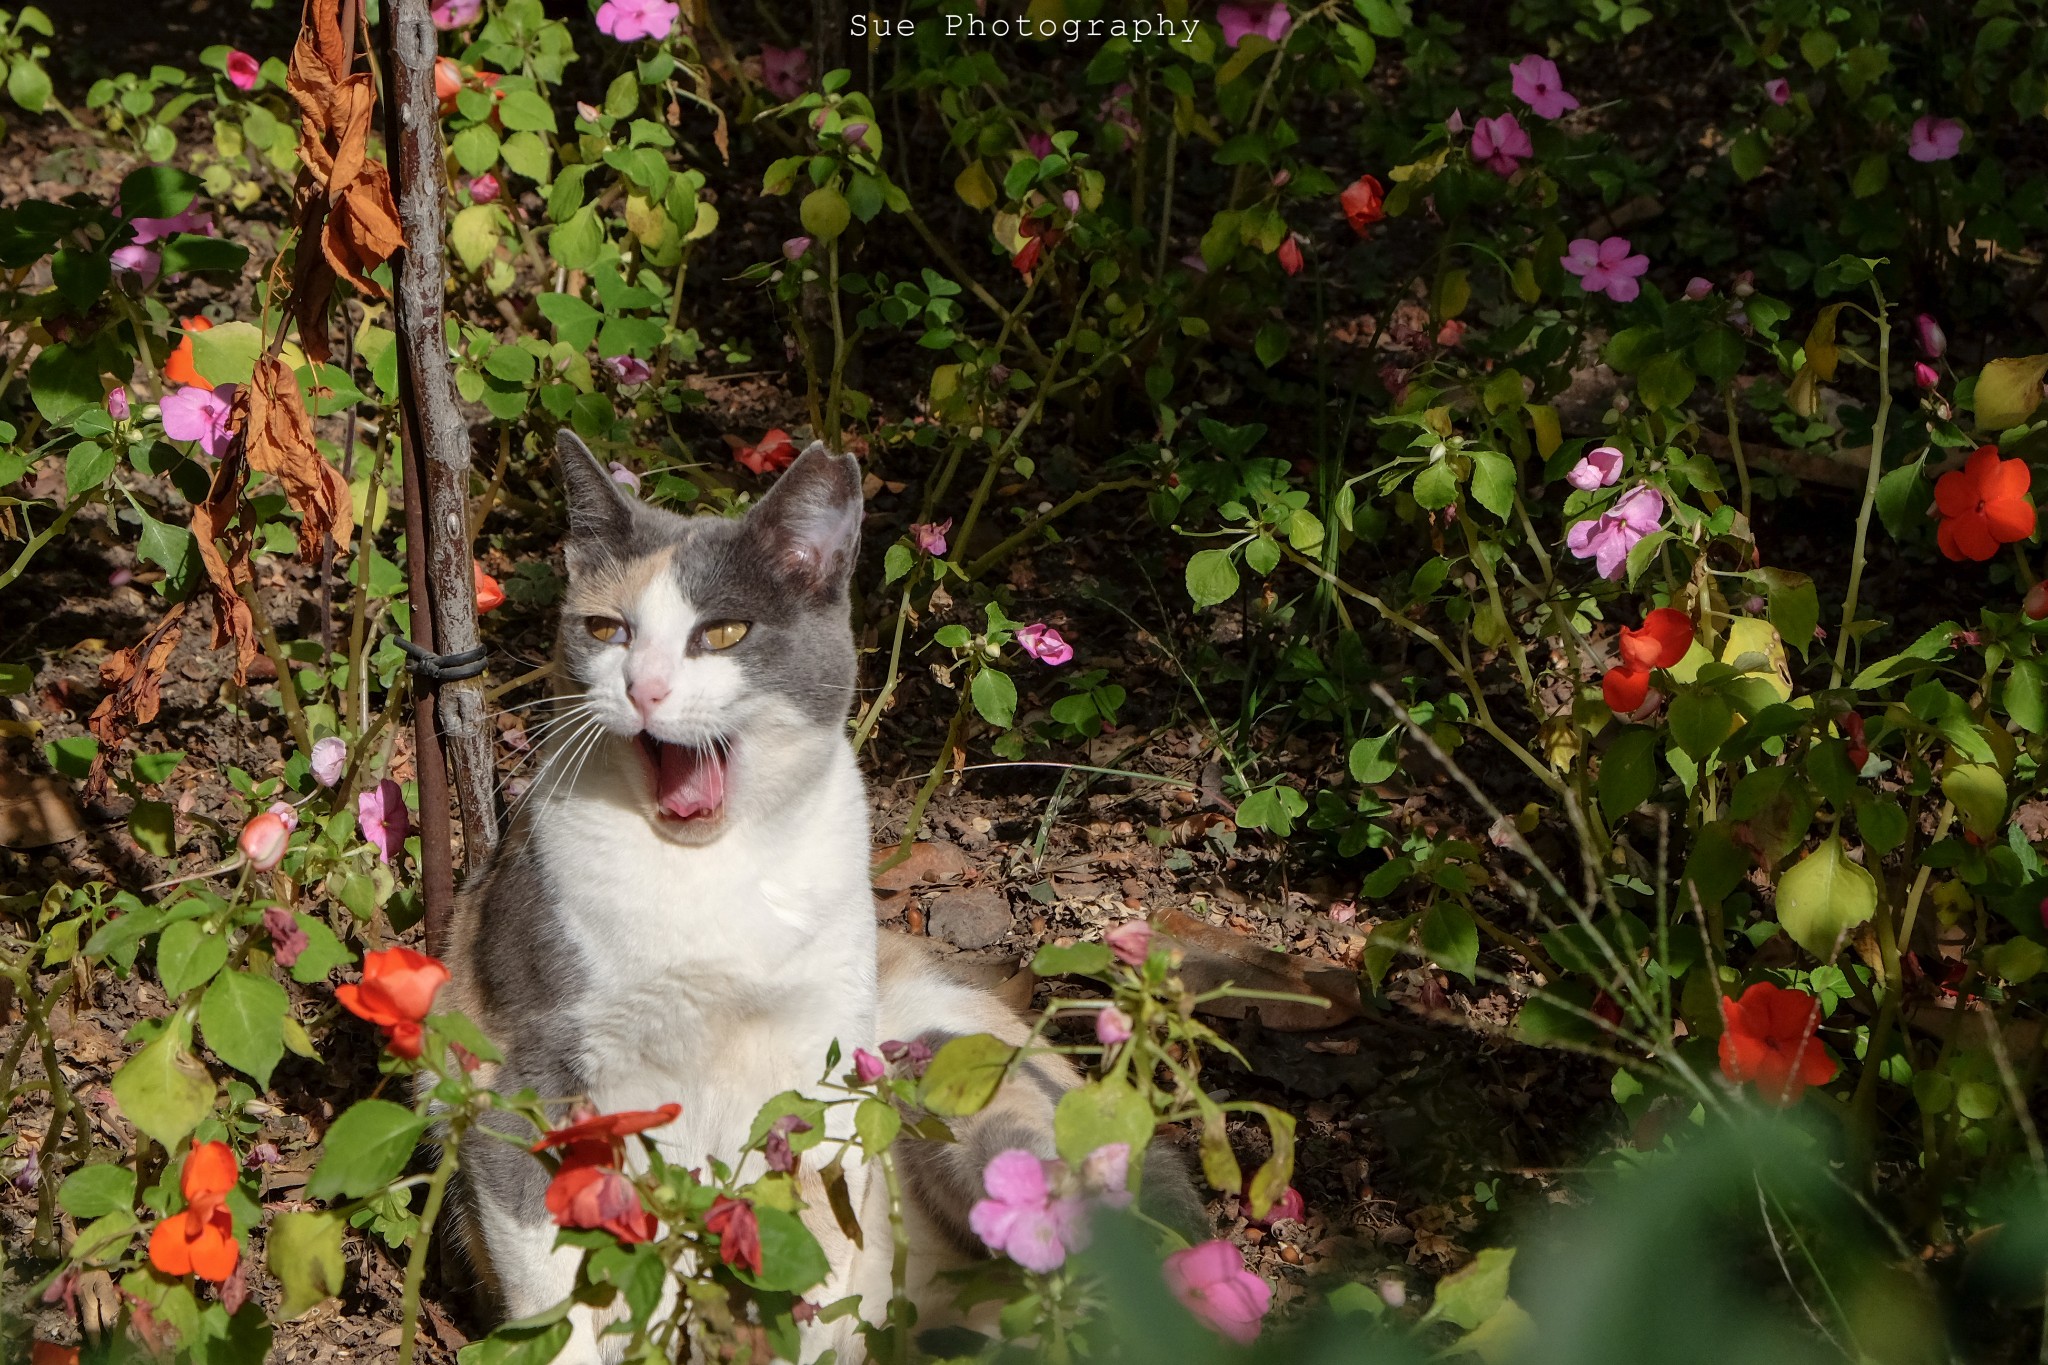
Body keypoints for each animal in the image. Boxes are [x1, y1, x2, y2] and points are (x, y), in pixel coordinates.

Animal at [438, 435, 1196, 1358]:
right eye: (605, 629)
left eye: (724, 631)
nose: (643, 688)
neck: (707, 873)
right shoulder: (520, 1059)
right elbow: (550, 1282)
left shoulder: (815, 1066)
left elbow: (809, 1249)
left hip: (955, 1077)